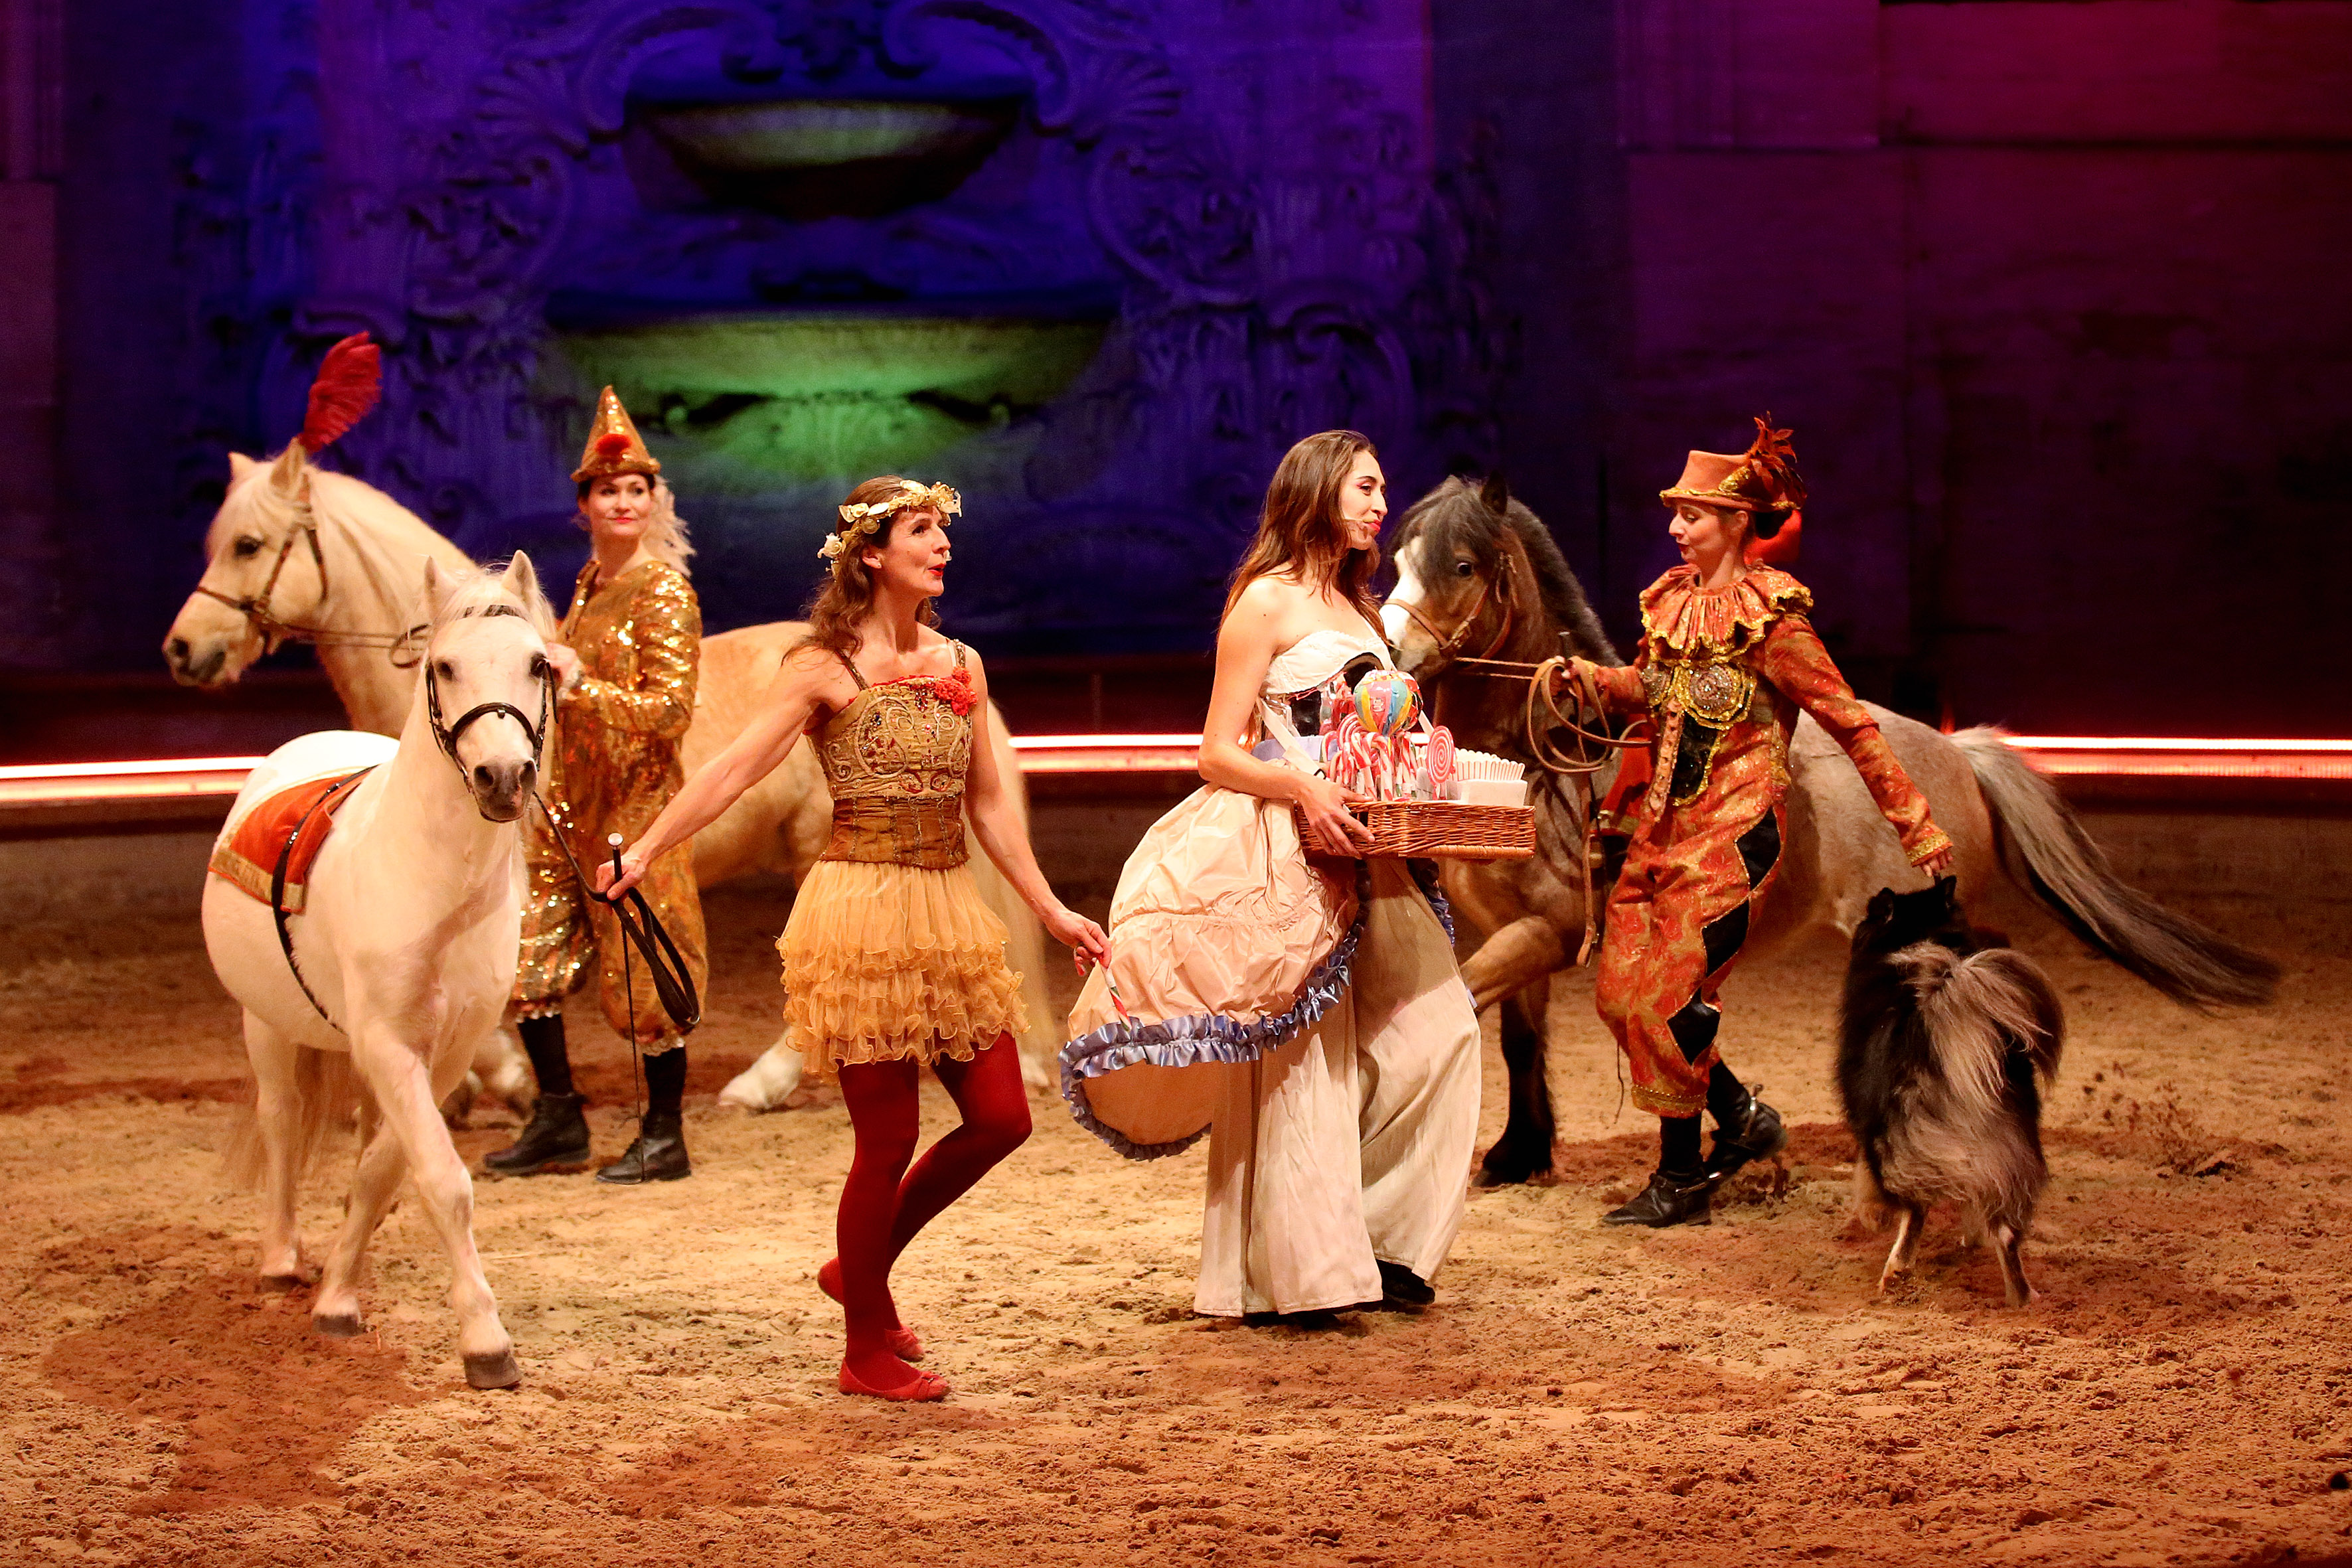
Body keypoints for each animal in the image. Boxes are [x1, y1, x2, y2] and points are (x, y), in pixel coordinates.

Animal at [200, 552, 552, 1382]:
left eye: (537, 663)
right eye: (444, 665)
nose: (502, 776)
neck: (434, 881)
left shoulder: (444, 1053)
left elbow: (383, 1170)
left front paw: (340, 1295)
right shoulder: (390, 1044)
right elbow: (444, 1180)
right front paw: (485, 1340)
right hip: (266, 1025)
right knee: (283, 1122)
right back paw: (280, 1258)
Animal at [1373, 472, 2276, 1184]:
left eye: (1460, 564)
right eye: (1396, 559)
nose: (1391, 650)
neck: (1538, 762)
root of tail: (1955, 750)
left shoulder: (1548, 932)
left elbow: (1469, 1002)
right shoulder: (1512, 927)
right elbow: (1524, 1039)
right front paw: (1520, 1153)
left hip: (1913, 927)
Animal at [1834, 879, 2060, 1306]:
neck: (1919, 932)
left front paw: (1872, 1216)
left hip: (1898, 1141)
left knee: (1915, 1209)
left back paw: (1895, 1272)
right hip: (2007, 1147)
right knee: (2005, 1231)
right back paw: (2021, 1298)